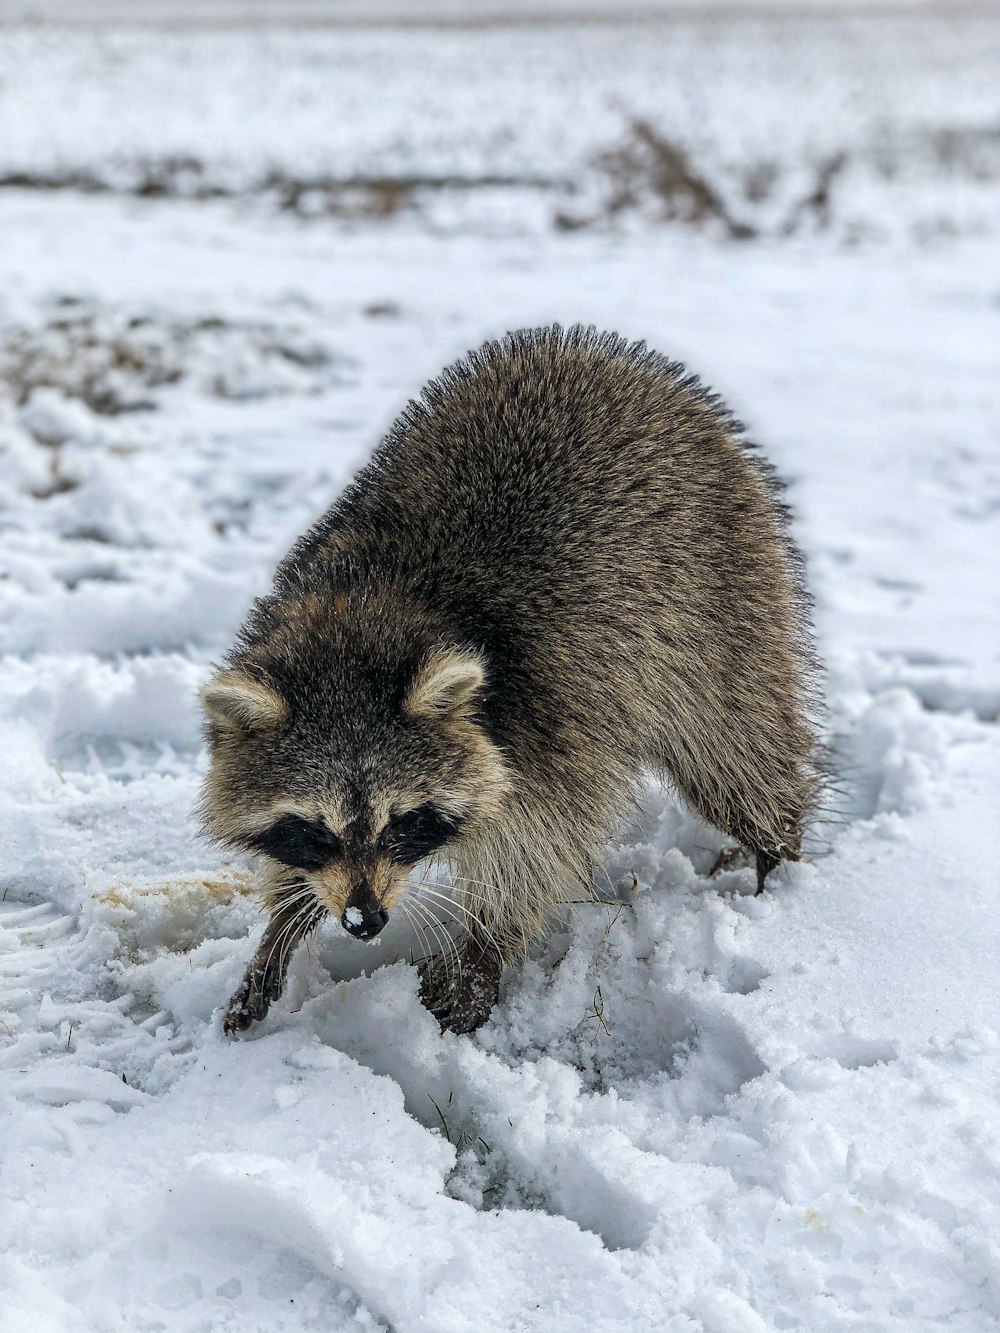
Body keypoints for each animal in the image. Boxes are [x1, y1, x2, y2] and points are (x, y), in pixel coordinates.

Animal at [201, 327, 821, 1034]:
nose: (364, 922)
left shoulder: (555, 717)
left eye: (399, 821)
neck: (365, 614)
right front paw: (282, 923)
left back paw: (776, 862)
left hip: (725, 604)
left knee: (738, 756)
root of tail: (597, 351)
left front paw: (481, 955)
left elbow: (537, 850)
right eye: (314, 829)